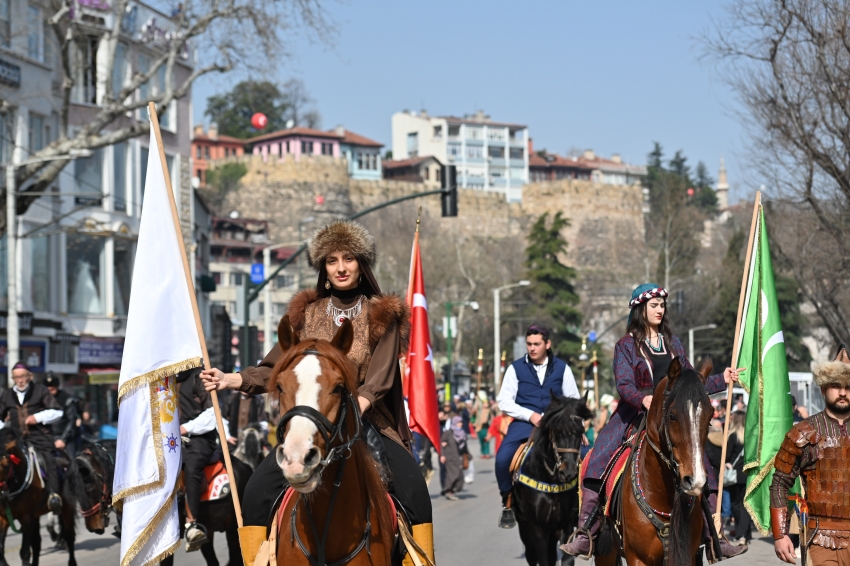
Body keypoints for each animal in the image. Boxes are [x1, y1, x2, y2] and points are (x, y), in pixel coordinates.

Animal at [0, 430, 76, 566]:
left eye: (6, 466)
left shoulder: (26, 518)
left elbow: (24, 552)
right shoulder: (3, 519)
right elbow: (1, 550)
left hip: (67, 508)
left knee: (70, 536)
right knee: (37, 544)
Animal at [510, 394, 588, 566]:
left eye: (581, 431)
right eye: (557, 430)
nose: (568, 472)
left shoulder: (565, 524)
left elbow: (566, 558)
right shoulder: (537, 527)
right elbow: (542, 559)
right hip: (524, 526)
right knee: (531, 555)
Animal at [592, 360, 712, 566]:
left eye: (710, 416)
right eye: (672, 416)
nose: (695, 481)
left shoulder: (686, 556)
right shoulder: (638, 558)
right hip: (604, 553)